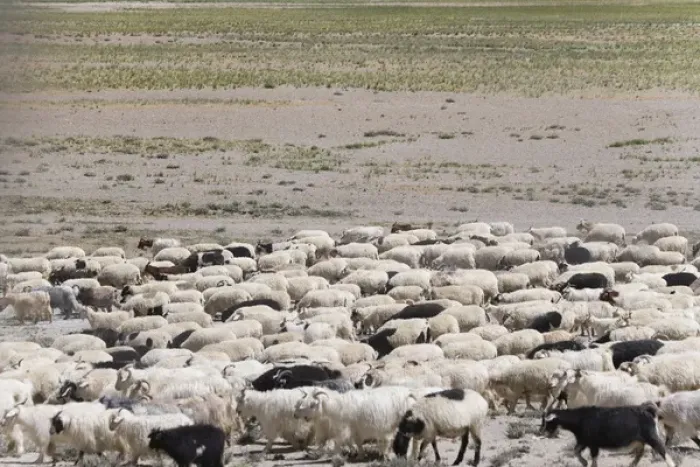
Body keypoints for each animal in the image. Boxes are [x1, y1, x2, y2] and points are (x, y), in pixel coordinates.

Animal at [541, 403, 675, 467]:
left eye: (548, 421)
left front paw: (587, 463)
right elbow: (575, 451)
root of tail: (647, 410)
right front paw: (584, 463)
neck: (580, 418)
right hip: (639, 440)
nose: (543, 432)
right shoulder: (583, 441)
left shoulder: (593, 444)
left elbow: (593, 457)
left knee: (662, 449)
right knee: (640, 453)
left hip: (651, 437)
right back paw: (631, 464)